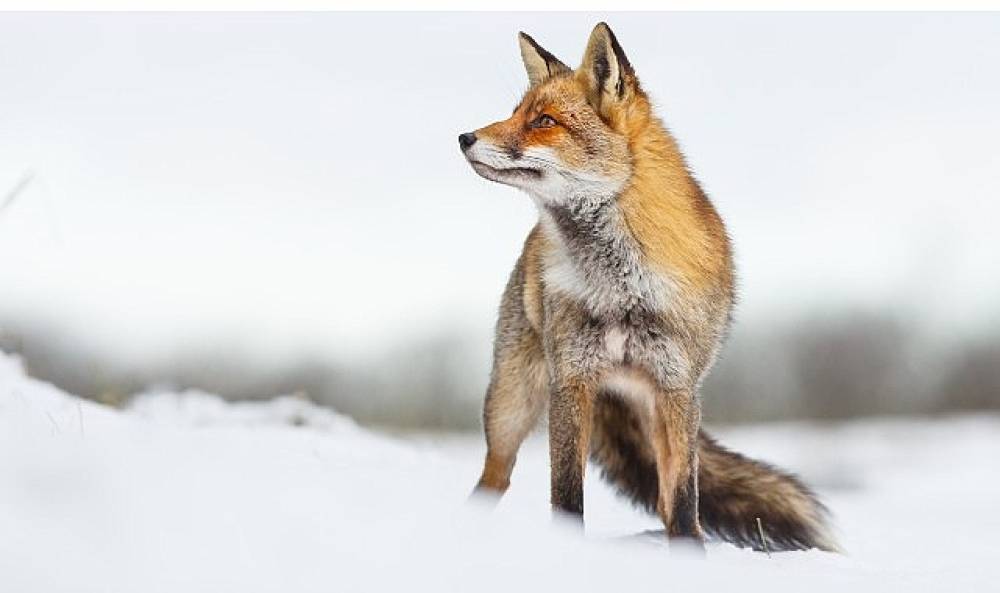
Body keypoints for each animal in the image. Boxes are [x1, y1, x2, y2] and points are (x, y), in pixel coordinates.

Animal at [458, 22, 840, 552]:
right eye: (516, 113)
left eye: (544, 121)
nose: (464, 137)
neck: (622, 287)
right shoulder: (572, 380)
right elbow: (566, 494)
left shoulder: (677, 387)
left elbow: (683, 500)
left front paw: (689, 556)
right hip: (510, 406)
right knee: (493, 478)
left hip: (649, 408)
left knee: (663, 500)